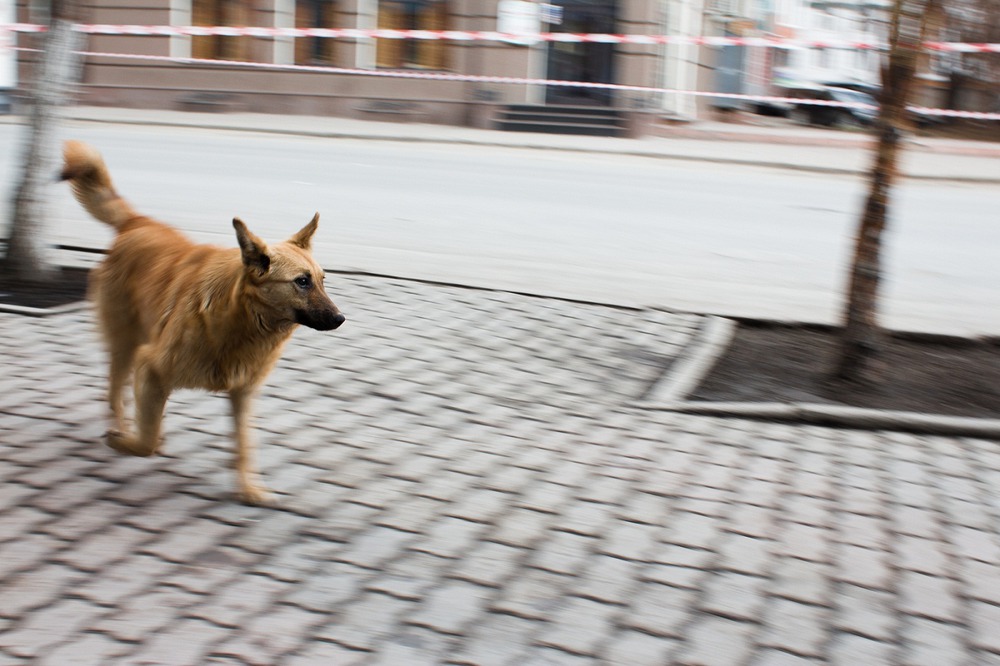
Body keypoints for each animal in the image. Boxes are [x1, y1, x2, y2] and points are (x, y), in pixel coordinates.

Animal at [62, 140, 346, 504]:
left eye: (322, 280)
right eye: (302, 282)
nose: (340, 318)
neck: (239, 323)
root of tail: (138, 223)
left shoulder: (242, 394)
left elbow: (244, 447)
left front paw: (248, 488)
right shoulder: (151, 365)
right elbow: (146, 441)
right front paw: (127, 443)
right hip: (125, 345)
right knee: (114, 393)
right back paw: (122, 428)